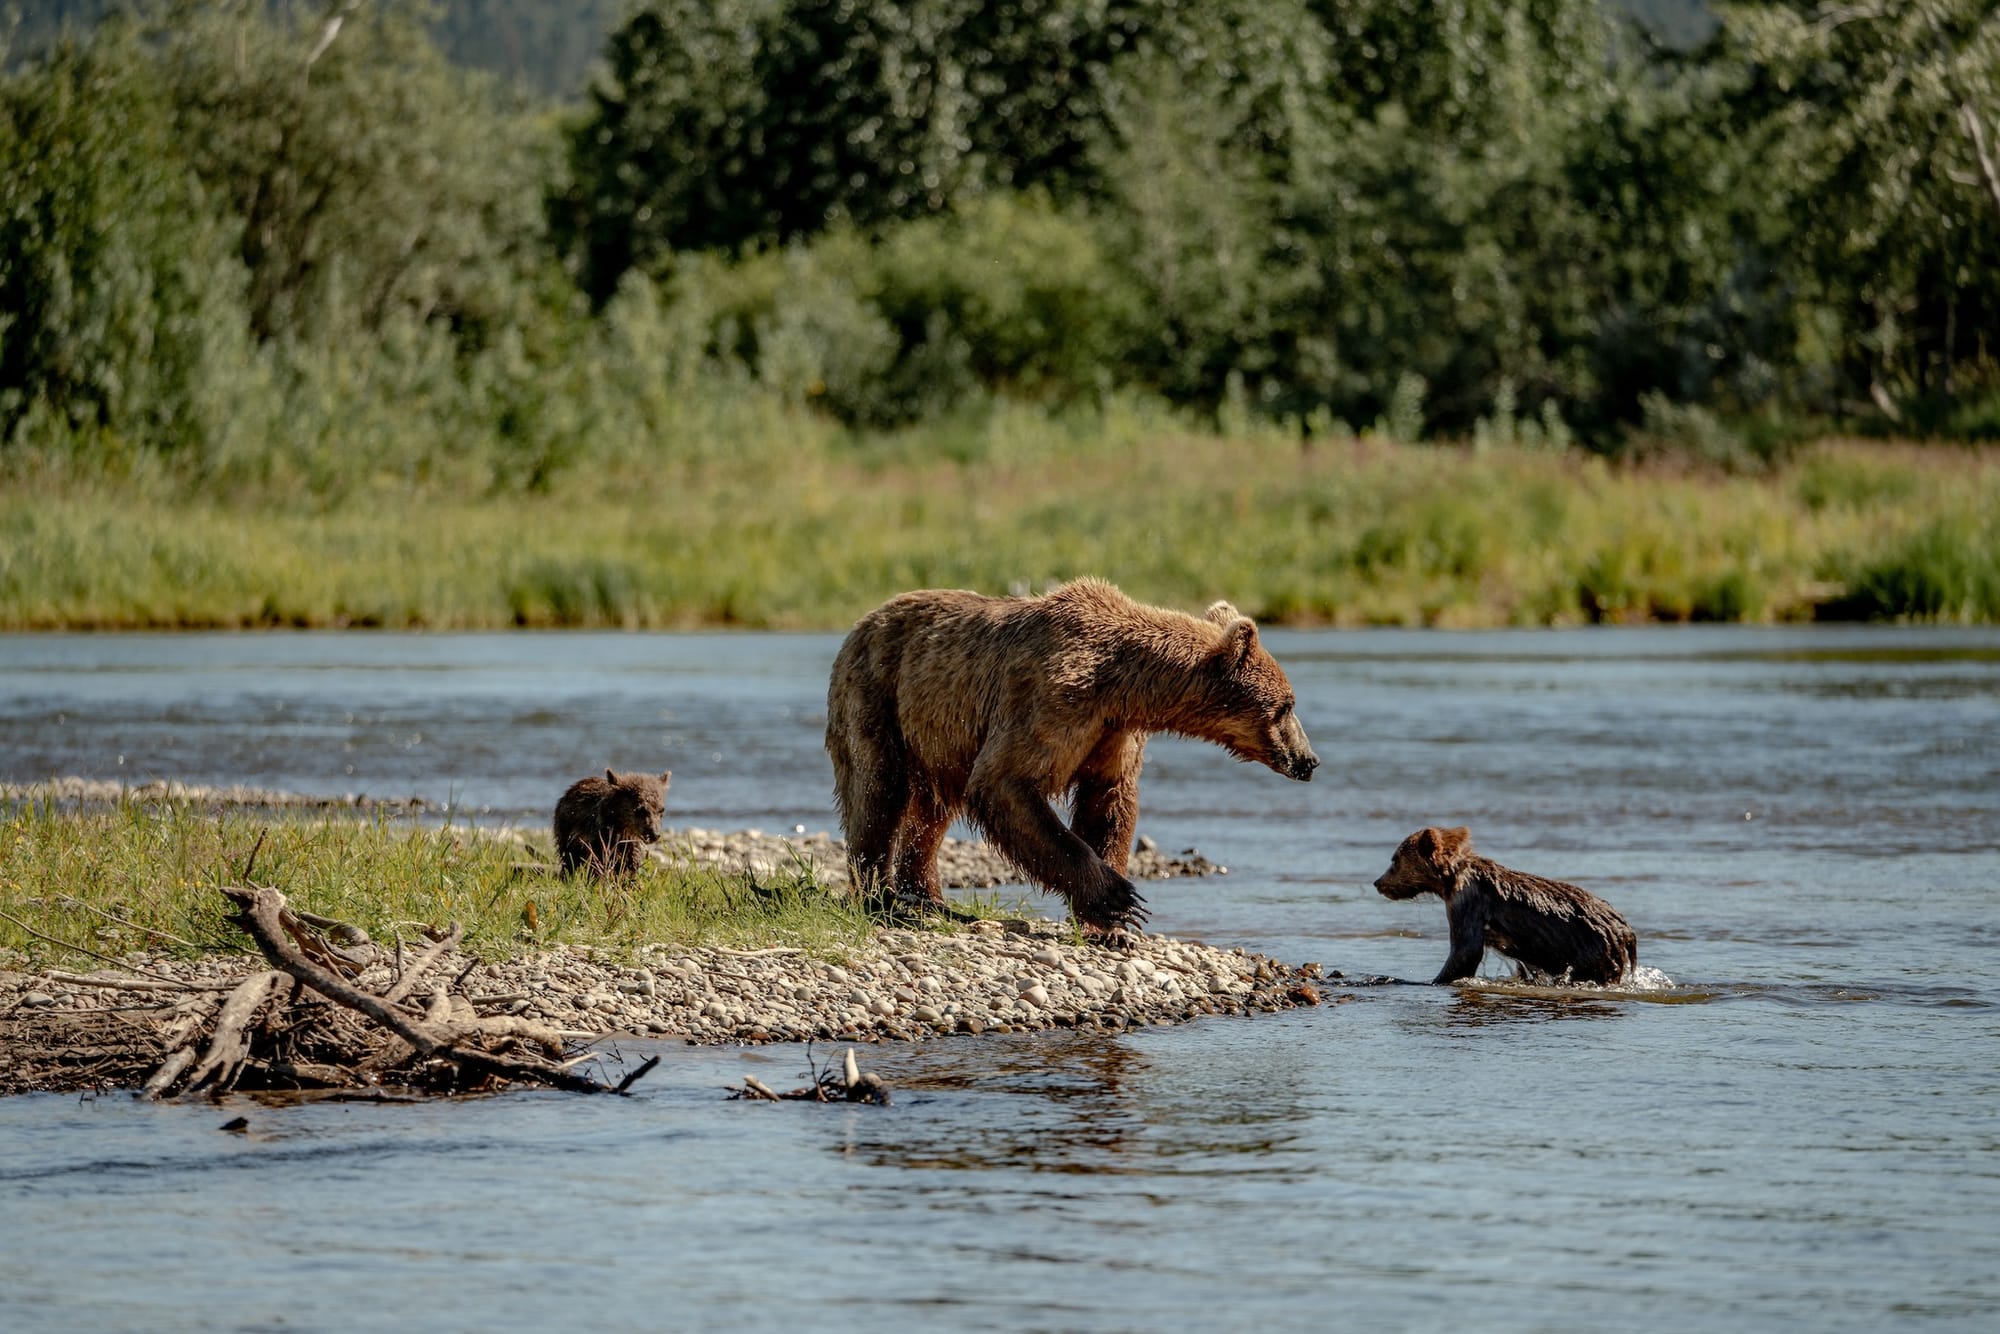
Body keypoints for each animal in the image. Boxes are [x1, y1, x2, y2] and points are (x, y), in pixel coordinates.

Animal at [820, 580, 1320, 944]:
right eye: (1285, 706)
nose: (1309, 760)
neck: (1122, 686)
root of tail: (862, 622)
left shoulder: (1112, 734)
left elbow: (1108, 804)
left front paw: (1108, 927)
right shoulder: (1053, 700)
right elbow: (1006, 782)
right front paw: (1119, 899)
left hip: (938, 735)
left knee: (933, 810)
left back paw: (929, 898)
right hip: (877, 695)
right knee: (878, 789)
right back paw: (879, 897)